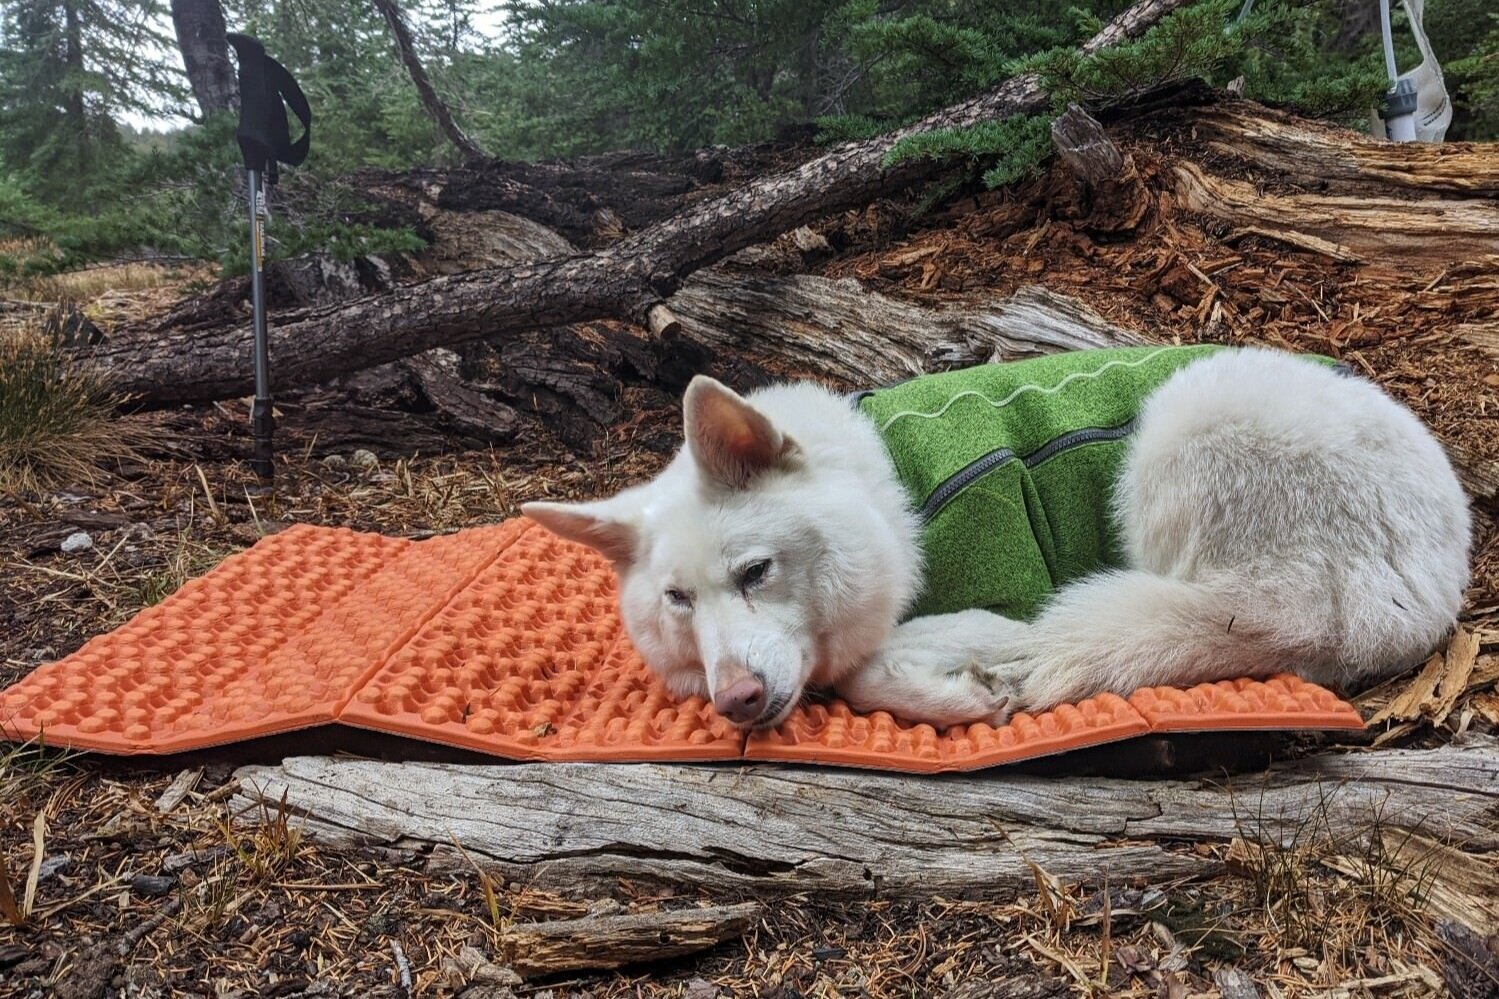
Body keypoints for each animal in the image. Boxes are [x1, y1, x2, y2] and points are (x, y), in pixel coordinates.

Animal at [521, 346, 1469, 729]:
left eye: (756, 571)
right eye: (678, 602)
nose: (737, 702)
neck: (886, 495)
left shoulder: (1001, 580)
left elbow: (866, 673)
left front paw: (957, 682)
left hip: (1186, 423)